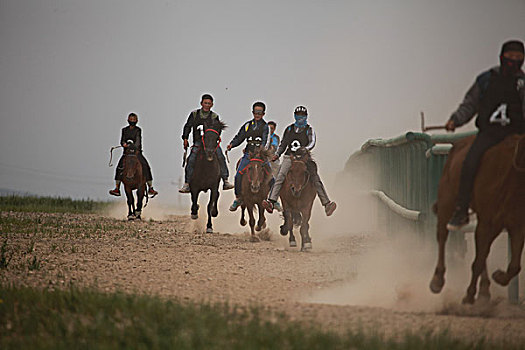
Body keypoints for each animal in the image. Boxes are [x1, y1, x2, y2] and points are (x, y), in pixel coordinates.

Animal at [428, 134, 524, 304]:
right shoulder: (489, 221)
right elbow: (478, 260)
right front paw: (469, 295)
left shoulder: (516, 223)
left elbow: (514, 265)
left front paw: (498, 276)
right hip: (447, 201)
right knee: (442, 235)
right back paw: (437, 281)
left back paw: (485, 290)